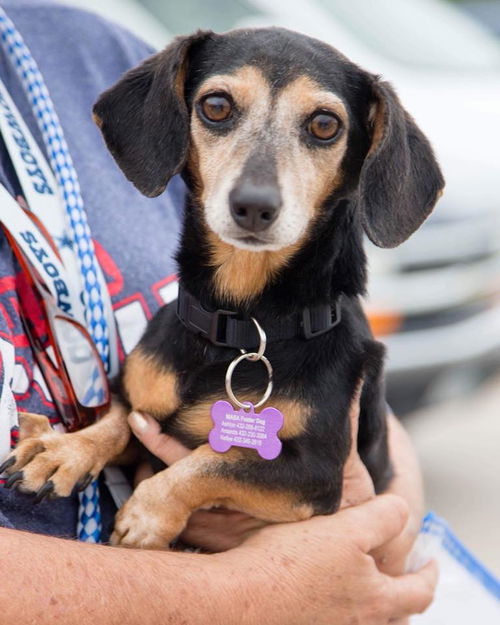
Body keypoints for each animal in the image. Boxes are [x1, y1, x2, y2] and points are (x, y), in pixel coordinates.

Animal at [1, 29, 444, 544]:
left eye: (325, 124)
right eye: (216, 105)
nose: (253, 205)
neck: (240, 327)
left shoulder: (315, 472)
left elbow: (218, 459)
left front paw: (146, 515)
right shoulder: (134, 403)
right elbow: (116, 420)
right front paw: (62, 451)